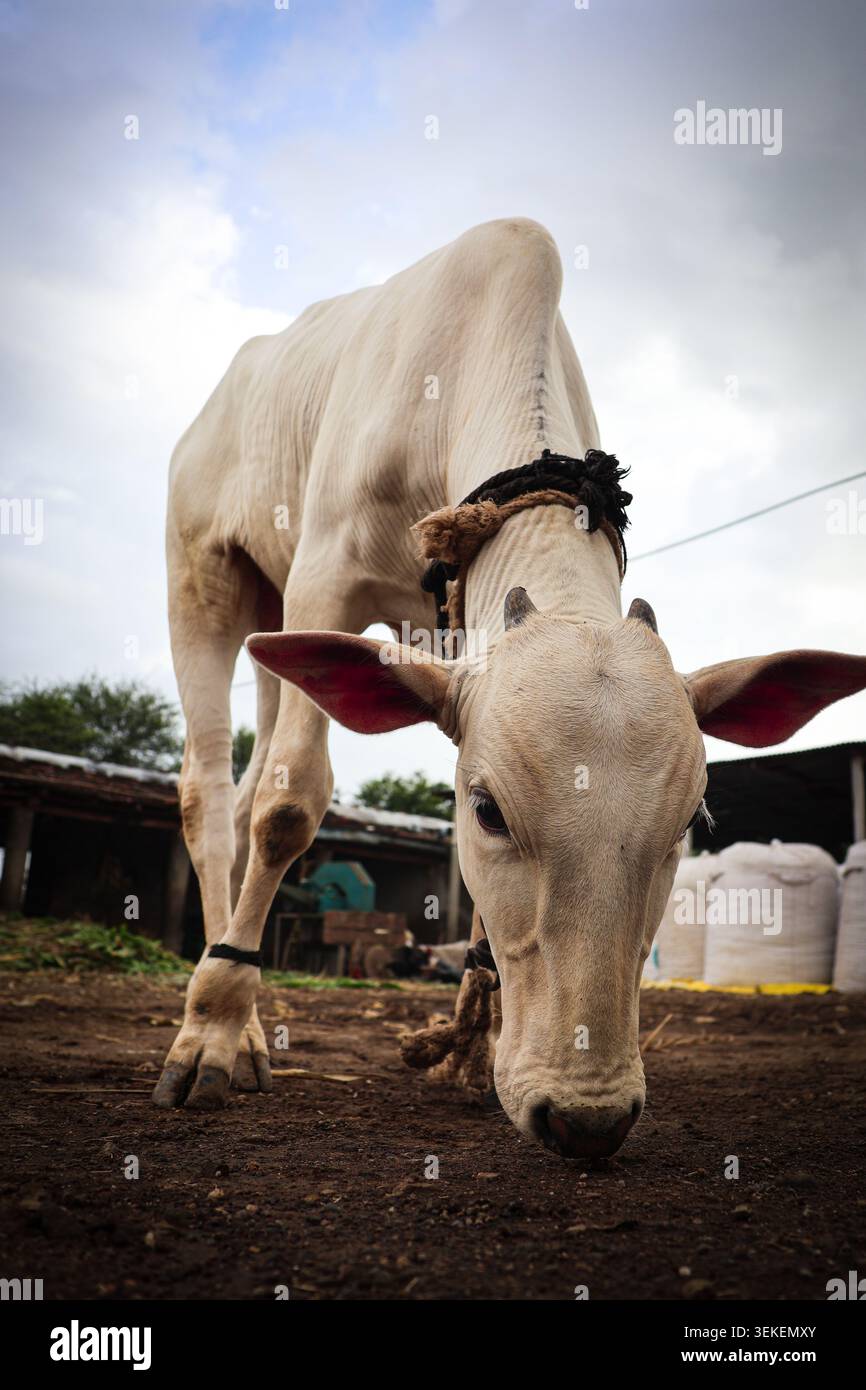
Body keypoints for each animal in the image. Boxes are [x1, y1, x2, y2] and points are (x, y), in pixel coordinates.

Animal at [155, 217, 866, 1159]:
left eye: (688, 824)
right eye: (488, 811)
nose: (585, 1118)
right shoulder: (324, 578)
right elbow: (289, 807)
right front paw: (209, 1032)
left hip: (276, 620)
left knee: (241, 792)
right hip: (206, 570)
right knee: (215, 796)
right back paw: (222, 1026)